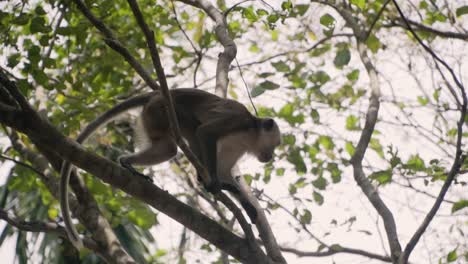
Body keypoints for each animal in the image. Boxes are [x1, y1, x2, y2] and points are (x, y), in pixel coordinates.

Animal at [61, 87, 282, 249]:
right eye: (275, 144)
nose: (270, 156)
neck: (252, 131)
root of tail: (156, 93)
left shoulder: (241, 145)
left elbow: (224, 170)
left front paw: (247, 206)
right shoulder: (239, 121)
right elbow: (206, 133)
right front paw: (215, 183)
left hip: (152, 116)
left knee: (167, 148)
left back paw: (126, 162)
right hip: (160, 110)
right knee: (191, 127)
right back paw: (203, 180)